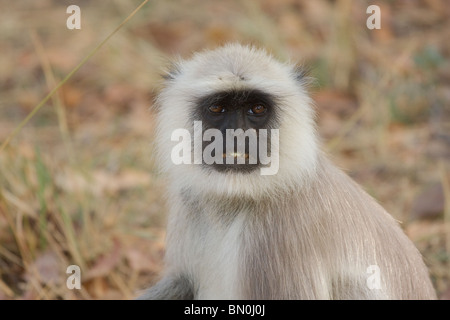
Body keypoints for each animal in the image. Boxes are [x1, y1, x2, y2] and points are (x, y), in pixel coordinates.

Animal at [140, 43, 436, 300]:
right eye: (217, 107)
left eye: (257, 108)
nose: (238, 135)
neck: (236, 199)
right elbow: (181, 281)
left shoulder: (276, 234)